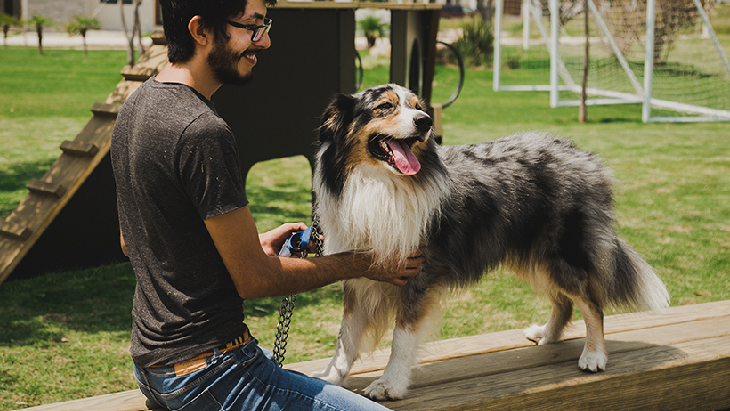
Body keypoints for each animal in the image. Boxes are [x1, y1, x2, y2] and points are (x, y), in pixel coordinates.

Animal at [308, 84, 664, 402]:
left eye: (418, 106)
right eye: (385, 106)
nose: (425, 121)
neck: (379, 184)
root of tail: (584, 155)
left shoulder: (417, 275)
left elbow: (402, 337)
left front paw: (390, 384)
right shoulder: (359, 274)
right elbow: (346, 337)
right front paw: (329, 378)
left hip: (560, 256)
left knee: (593, 303)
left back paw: (593, 356)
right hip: (535, 257)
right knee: (564, 302)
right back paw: (547, 335)